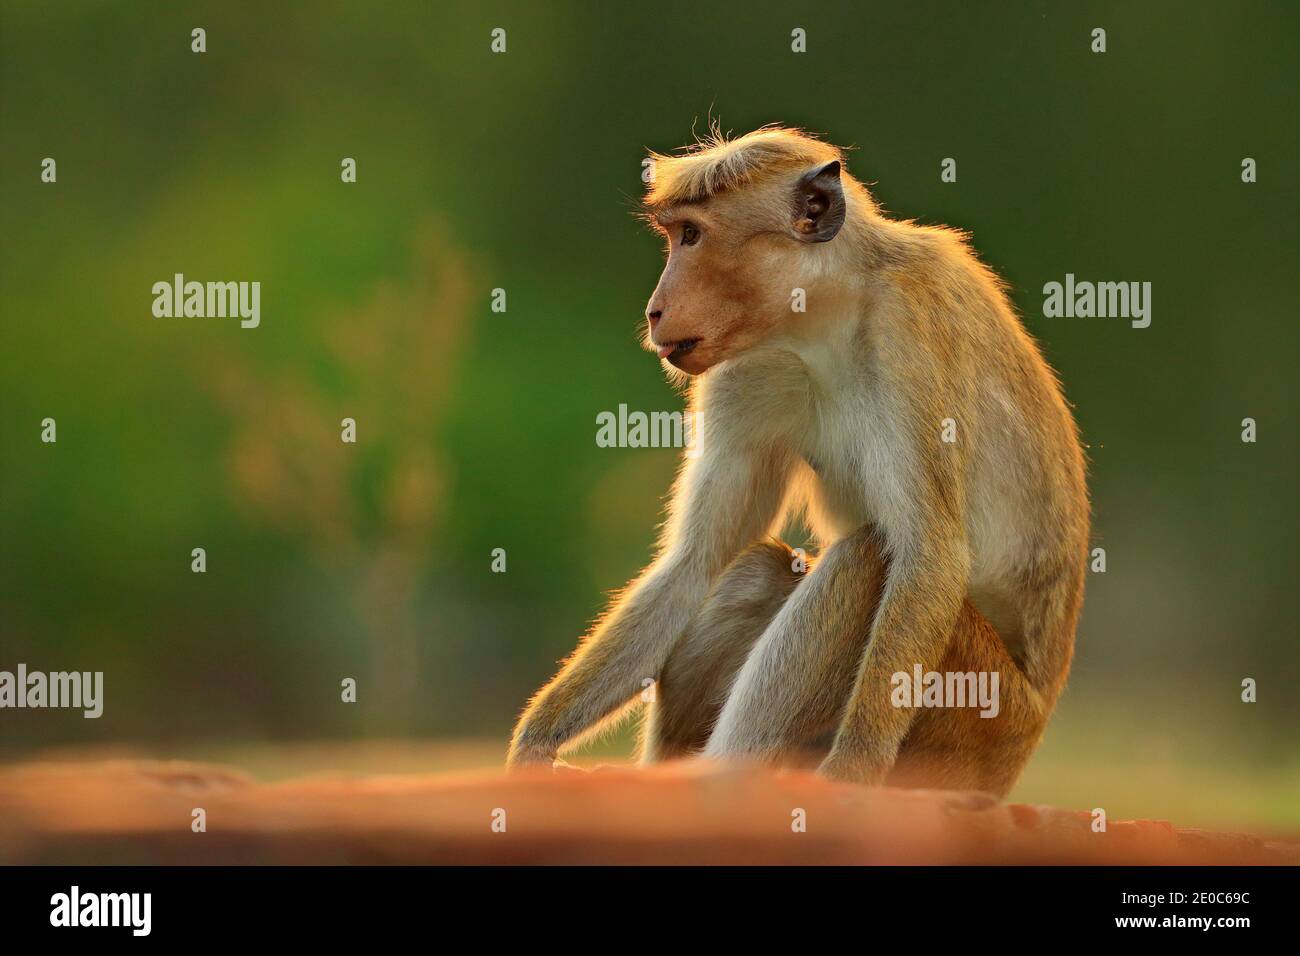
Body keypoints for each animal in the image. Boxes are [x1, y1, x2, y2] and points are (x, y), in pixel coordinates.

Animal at [507, 126, 1088, 797]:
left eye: (692, 236)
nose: (655, 309)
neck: (830, 317)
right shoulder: (748, 367)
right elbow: (695, 564)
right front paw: (535, 742)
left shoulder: (911, 327)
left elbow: (931, 555)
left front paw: (851, 774)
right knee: (758, 570)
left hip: (974, 723)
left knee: (866, 560)